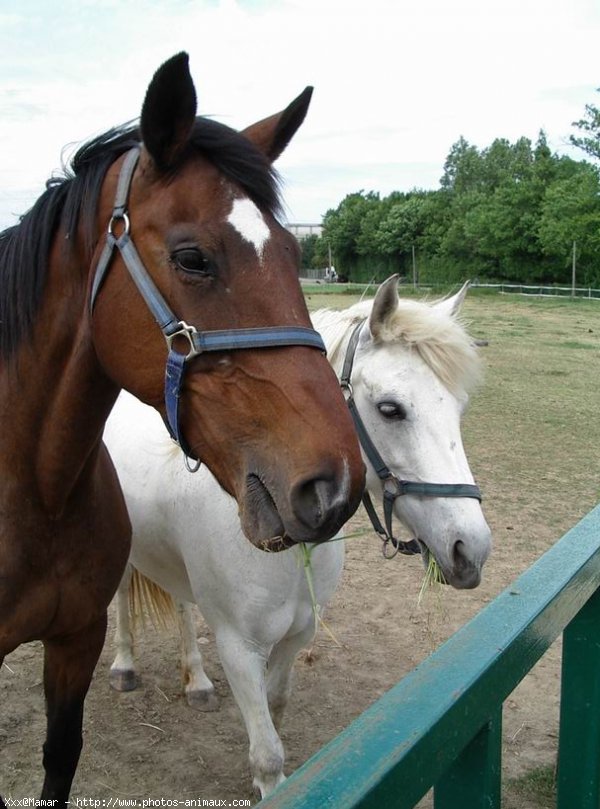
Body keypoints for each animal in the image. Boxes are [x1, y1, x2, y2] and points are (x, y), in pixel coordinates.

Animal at [0, 55, 364, 800]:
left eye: (296, 252)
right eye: (194, 257)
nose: (335, 485)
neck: (34, 492)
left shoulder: (74, 641)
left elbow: (61, 756)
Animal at [105, 278, 494, 796]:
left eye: (459, 410)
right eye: (391, 409)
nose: (471, 548)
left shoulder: (298, 633)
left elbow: (275, 708)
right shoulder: (239, 648)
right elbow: (268, 751)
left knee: (183, 607)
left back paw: (197, 683)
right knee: (123, 597)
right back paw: (125, 665)